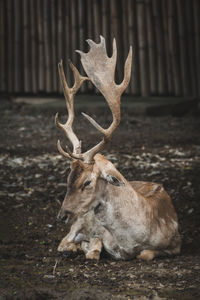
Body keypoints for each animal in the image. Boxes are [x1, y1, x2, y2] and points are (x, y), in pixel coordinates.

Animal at [55, 37, 181, 260]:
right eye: (68, 178)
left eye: (87, 182)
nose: (62, 216)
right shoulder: (96, 232)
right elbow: (94, 249)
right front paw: (87, 249)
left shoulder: (177, 243)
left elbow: (146, 254)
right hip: (80, 220)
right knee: (63, 242)